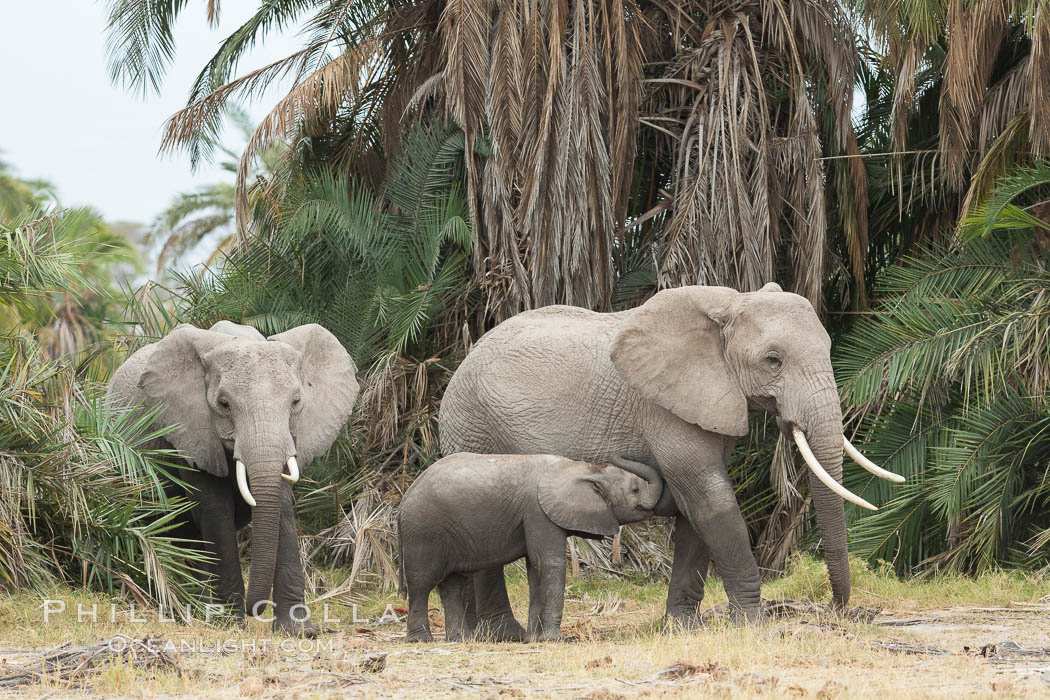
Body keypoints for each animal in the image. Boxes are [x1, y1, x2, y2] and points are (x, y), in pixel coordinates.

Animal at [108, 323, 359, 633]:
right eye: (224, 404)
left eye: (296, 402)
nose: (256, 609)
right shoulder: (189, 432)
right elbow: (216, 511)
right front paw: (230, 623)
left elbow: (281, 509)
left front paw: (299, 631)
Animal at [396, 451, 667, 642]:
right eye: (635, 489)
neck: (583, 468)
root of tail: (402, 502)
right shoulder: (538, 513)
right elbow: (549, 564)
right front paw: (556, 640)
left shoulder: (533, 517)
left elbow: (535, 569)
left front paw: (535, 639)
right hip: (423, 532)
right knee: (421, 584)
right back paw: (421, 640)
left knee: (452, 584)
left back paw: (461, 640)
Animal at [440, 281, 902, 633]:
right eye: (773, 360)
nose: (838, 611)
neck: (728, 306)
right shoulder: (662, 405)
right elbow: (709, 498)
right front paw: (752, 625)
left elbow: (693, 508)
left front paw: (684, 628)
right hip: (473, 425)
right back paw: (503, 635)